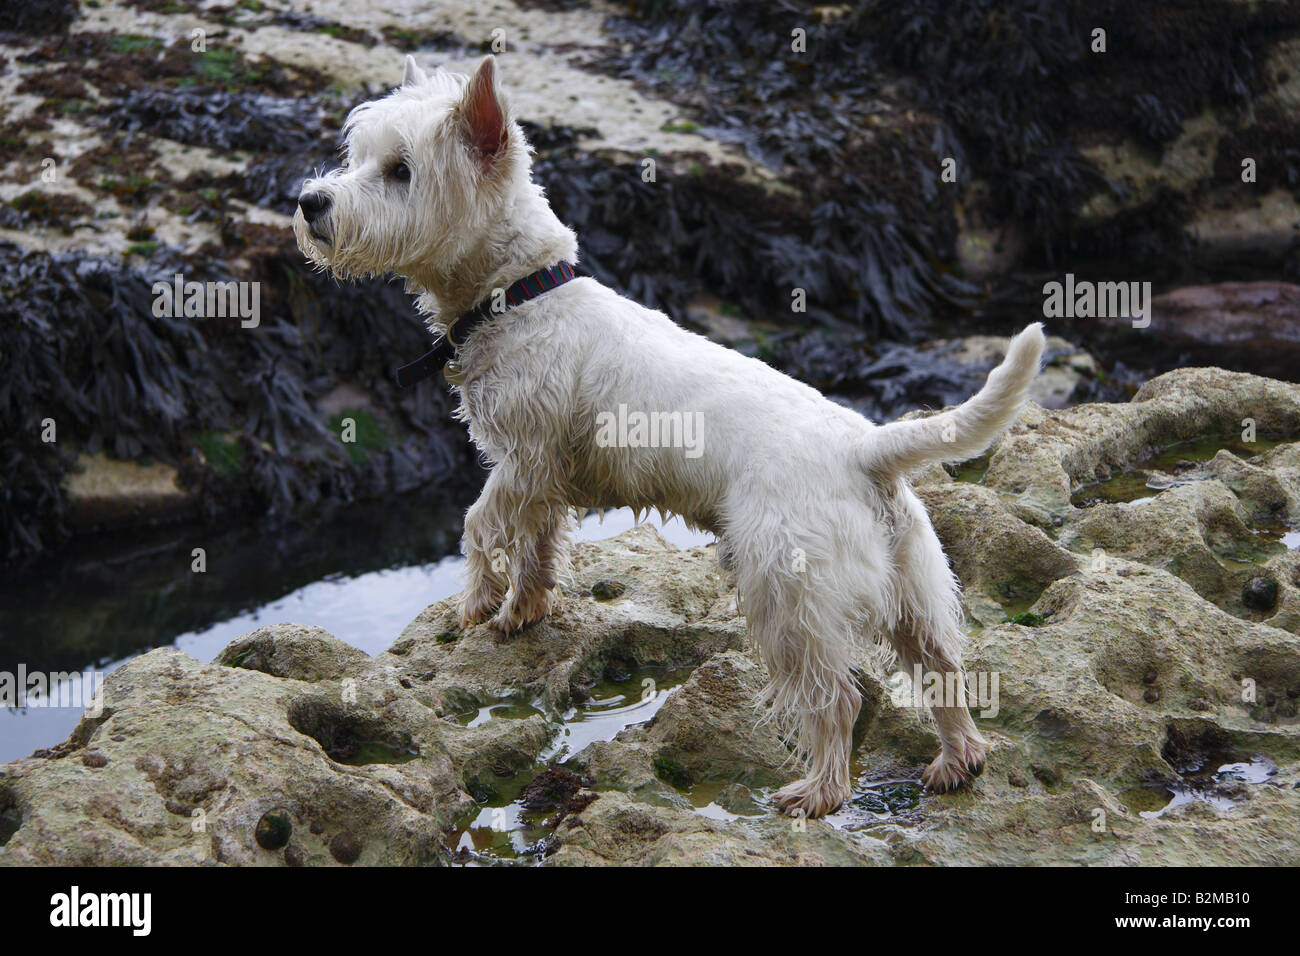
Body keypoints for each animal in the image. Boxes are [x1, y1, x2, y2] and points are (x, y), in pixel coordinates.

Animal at [295, 54, 1045, 816]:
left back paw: (818, 791)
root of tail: (866, 453)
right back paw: (957, 761)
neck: (519, 295)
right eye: (358, 158)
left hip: (787, 593)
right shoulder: (543, 480)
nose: (310, 201)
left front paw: (477, 601)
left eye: (400, 170)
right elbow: (537, 545)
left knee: (837, 695)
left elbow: (480, 523)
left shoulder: (524, 459)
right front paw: (520, 612)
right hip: (913, 589)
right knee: (943, 669)